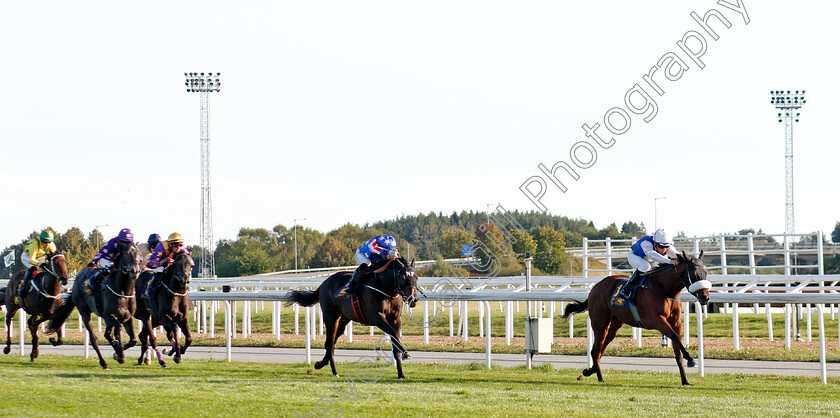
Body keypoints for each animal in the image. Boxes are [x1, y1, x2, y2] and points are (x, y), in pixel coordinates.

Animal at [47, 242, 139, 370]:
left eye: (138, 253)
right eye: (126, 254)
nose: (135, 271)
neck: (123, 291)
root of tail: (76, 282)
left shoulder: (127, 317)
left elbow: (133, 340)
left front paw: (117, 353)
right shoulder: (108, 315)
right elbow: (118, 328)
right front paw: (120, 354)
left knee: (107, 334)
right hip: (84, 312)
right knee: (94, 339)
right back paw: (104, 362)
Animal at [288, 258, 420, 378]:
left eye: (416, 277)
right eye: (403, 277)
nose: (413, 299)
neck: (384, 289)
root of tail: (324, 283)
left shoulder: (395, 319)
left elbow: (395, 340)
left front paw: (401, 373)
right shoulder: (375, 317)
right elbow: (392, 333)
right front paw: (406, 354)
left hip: (344, 319)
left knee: (331, 342)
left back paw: (321, 364)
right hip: (331, 317)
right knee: (330, 343)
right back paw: (334, 372)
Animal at [564, 251, 708, 386]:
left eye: (705, 272)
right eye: (693, 273)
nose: (705, 297)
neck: (663, 288)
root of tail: (595, 287)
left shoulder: (676, 322)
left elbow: (677, 350)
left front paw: (685, 380)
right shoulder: (656, 320)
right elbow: (675, 337)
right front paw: (691, 360)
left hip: (616, 323)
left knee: (601, 347)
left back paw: (590, 370)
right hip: (600, 324)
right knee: (595, 350)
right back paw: (600, 377)